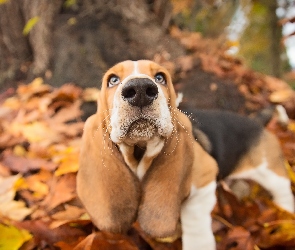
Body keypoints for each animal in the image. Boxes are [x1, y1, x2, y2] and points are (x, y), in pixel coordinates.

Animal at [77, 59, 294, 249]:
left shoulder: (204, 180)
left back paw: (286, 217)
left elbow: (194, 219)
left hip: (272, 174)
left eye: (160, 77)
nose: (139, 89)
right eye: (112, 80)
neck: (140, 151)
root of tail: (256, 122)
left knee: (284, 195)